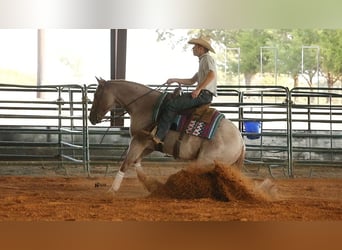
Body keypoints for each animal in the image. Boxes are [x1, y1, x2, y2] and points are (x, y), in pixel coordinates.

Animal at [87, 78, 244, 193]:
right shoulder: (150, 144)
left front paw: (112, 191)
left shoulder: (138, 140)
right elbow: (137, 162)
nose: (91, 118)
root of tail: (241, 141)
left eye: (96, 95)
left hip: (205, 161)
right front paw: (150, 184)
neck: (144, 106)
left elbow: (126, 163)